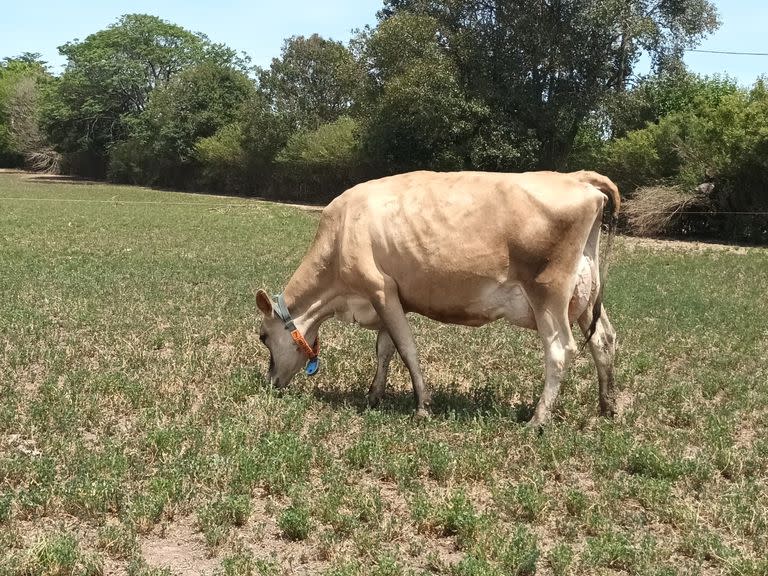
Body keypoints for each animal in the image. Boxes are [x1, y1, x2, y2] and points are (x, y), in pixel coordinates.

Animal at [255, 169, 620, 426]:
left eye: (263, 337)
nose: (270, 382)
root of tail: (577, 177)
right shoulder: (389, 296)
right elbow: (385, 349)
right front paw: (374, 395)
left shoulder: (379, 287)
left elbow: (407, 349)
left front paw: (423, 406)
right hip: (584, 297)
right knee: (603, 339)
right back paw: (608, 407)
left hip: (548, 292)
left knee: (560, 349)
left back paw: (538, 420)